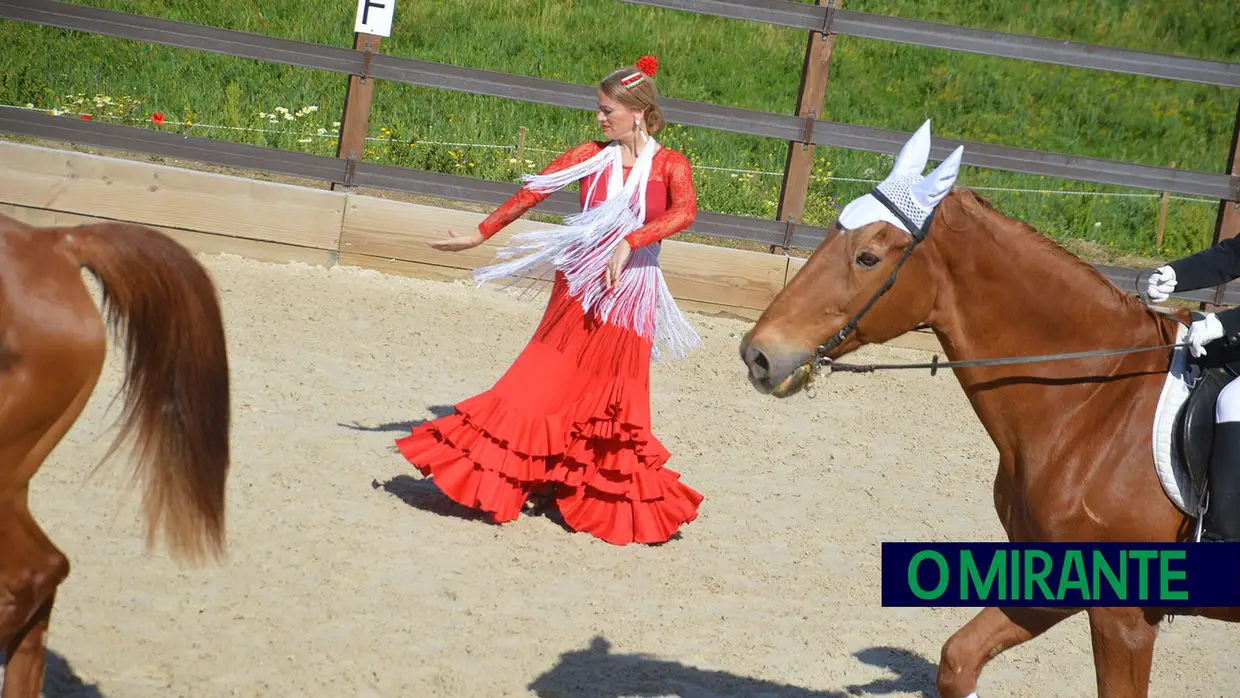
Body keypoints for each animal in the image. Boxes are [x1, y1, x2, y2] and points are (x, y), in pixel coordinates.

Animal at [734, 187, 1240, 698]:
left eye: (868, 257)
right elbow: (957, 661)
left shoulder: (1126, 618)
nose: (758, 355)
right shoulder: (1054, 582)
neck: (1096, 403)